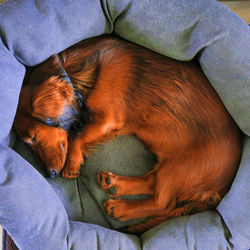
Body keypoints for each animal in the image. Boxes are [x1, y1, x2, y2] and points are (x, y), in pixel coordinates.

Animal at [14, 35, 242, 234]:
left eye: (33, 138)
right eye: (28, 142)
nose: (49, 174)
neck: (79, 74)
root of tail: (224, 187)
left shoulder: (109, 118)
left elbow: (78, 136)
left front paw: (72, 163)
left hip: (181, 168)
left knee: (163, 203)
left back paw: (120, 208)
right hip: (172, 167)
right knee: (151, 182)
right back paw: (113, 183)